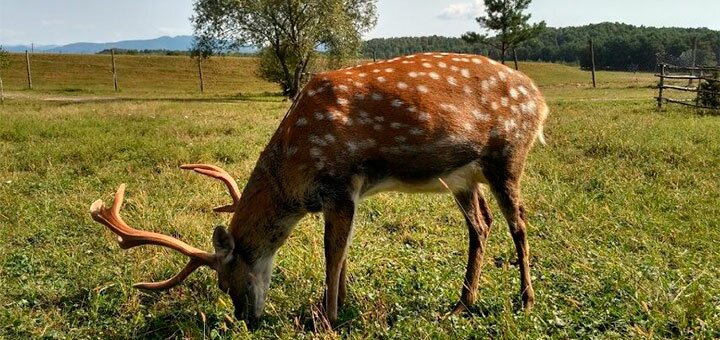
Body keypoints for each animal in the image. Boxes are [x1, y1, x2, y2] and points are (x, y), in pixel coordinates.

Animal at [91, 52, 552, 324]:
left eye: (225, 280)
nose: (246, 318)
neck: (295, 172)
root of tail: (541, 99)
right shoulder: (345, 196)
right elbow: (342, 254)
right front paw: (339, 304)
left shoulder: (340, 183)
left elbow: (333, 255)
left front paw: (327, 316)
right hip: (461, 176)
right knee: (481, 224)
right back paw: (462, 303)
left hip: (508, 154)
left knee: (519, 222)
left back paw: (526, 300)